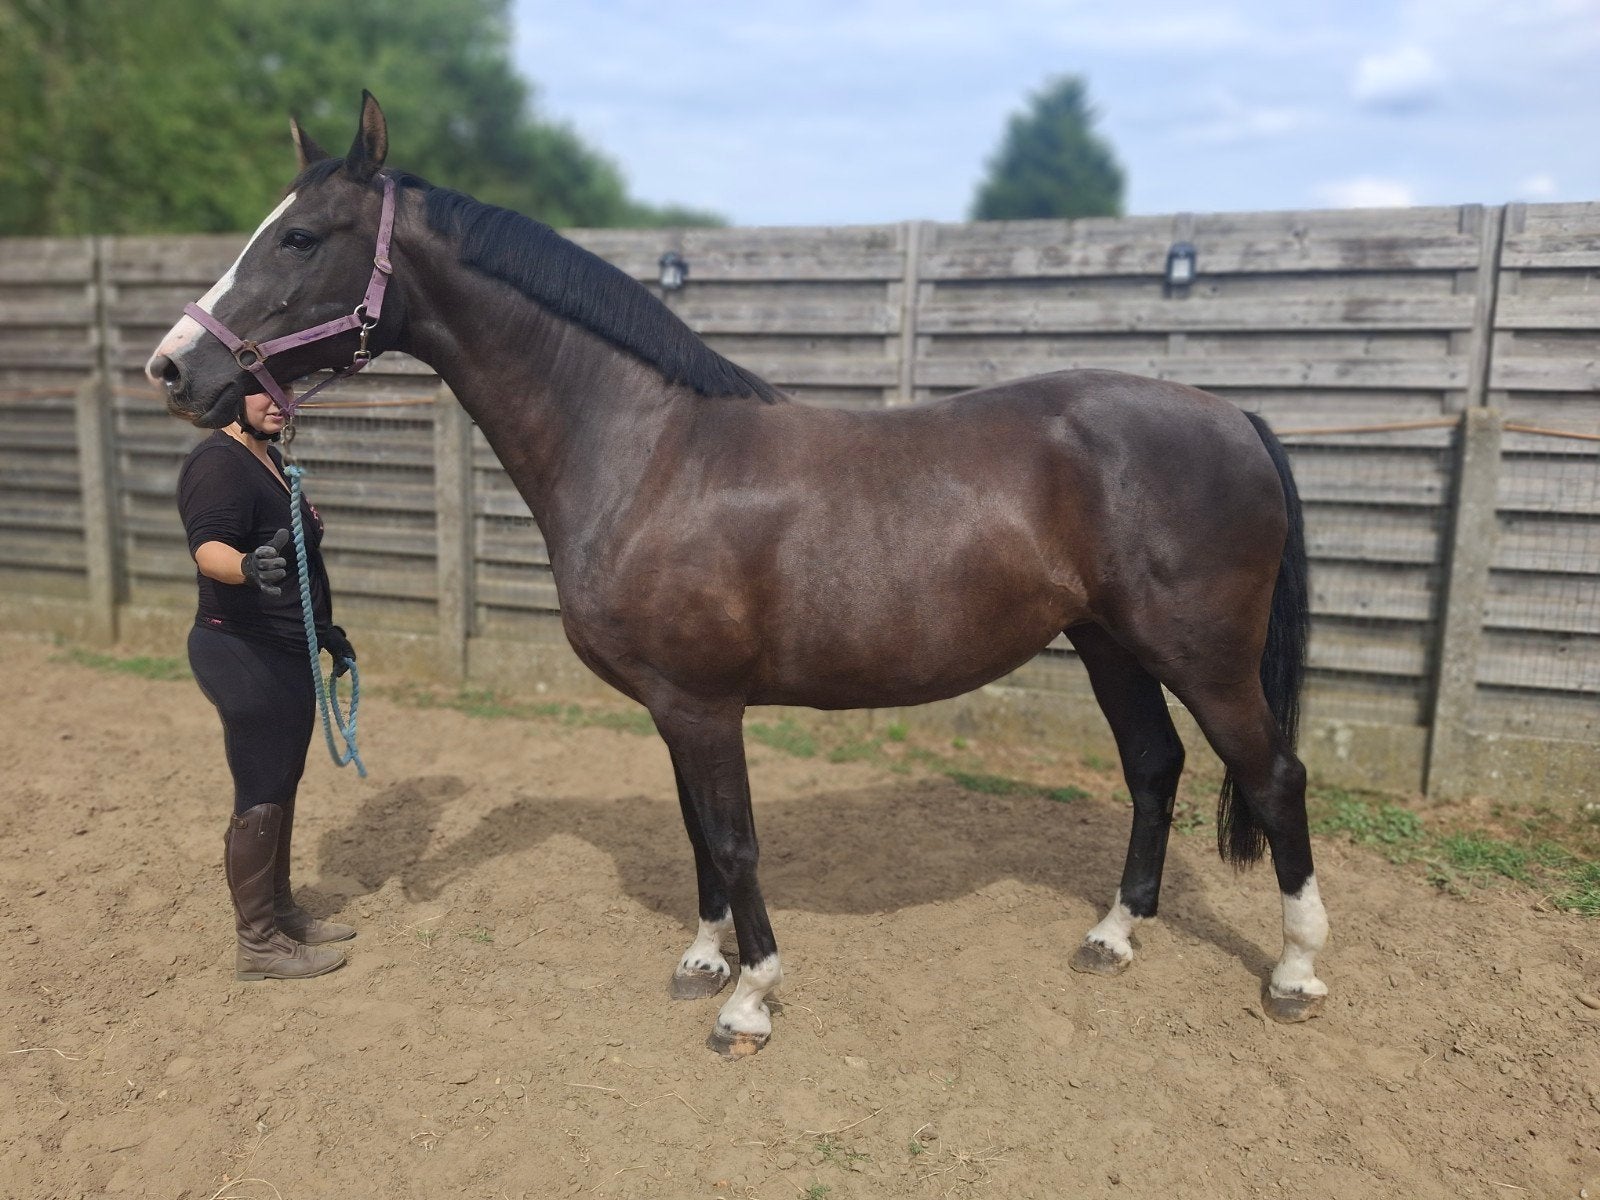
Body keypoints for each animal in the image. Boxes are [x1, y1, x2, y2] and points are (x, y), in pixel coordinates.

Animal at [147, 93, 1329, 1057]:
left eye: (300, 236)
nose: (174, 369)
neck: (648, 450)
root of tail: (1233, 417)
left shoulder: (706, 704)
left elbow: (734, 839)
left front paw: (750, 999)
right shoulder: (674, 706)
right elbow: (696, 837)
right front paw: (704, 958)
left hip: (1202, 658)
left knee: (1273, 778)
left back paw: (1296, 972)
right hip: (1108, 644)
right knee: (1154, 768)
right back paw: (1115, 934)